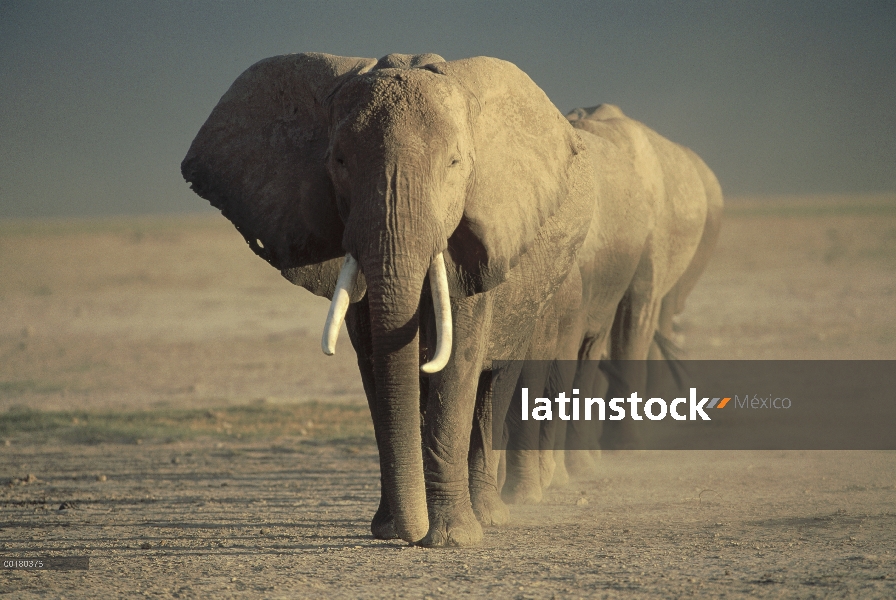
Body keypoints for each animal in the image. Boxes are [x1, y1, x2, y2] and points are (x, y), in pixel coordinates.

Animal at [180, 54, 600, 548]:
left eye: (455, 163)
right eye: (339, 161)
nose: (411, 533)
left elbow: (458, 360)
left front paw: (450, 539)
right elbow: (374, 362)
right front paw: (388, 530)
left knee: (494, 384)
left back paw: (489, 517)